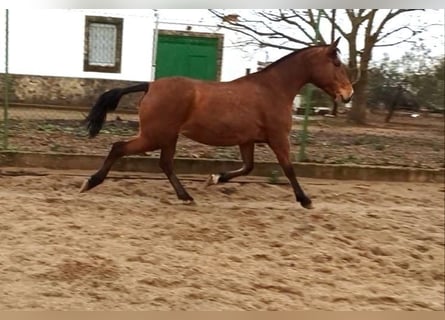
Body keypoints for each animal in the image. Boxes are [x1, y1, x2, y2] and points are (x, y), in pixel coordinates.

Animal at [79, 37, 350, 209]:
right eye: (337, 63)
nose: (348, 94)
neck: (273, 89)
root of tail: (150, 85)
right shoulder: (278, 138)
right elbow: (289, 168)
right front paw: (306, 200)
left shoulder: (247, 140)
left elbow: (248, 167)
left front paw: (214, 178)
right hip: (155, 136)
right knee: (119, 148)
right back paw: (89, 183)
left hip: (167, 137)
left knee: (164, 164)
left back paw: (186, 196)